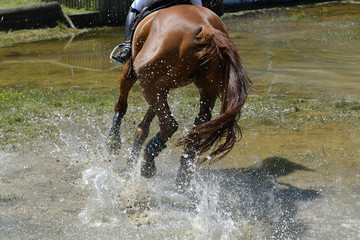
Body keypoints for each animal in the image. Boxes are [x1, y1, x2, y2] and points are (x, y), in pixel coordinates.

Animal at [107, 4, 252, 188]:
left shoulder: (135, 71)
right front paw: (128, 167)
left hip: (146, 78)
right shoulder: (162, 86)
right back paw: (183, 178)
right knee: (197, 128)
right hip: (206, 89)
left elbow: (122, 103)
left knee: (169, 124)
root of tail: (206, 28)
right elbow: (144, 125)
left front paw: (113, 141)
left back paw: (148, 163)